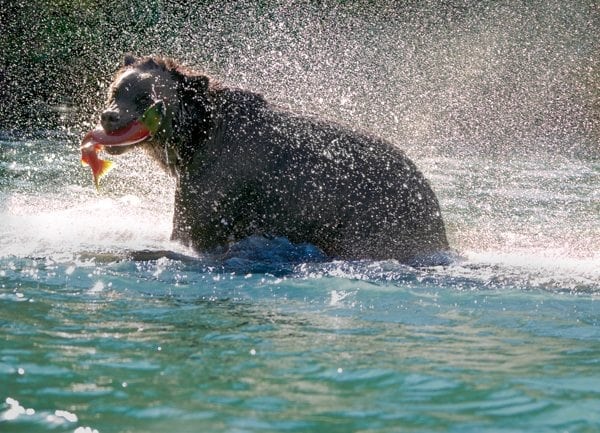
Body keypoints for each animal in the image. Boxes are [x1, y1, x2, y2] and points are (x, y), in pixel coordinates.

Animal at [96, 54, 448, 264]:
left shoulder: (218, 176)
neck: (196, 137)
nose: (110, 117)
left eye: (145, 99)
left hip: (375, 219)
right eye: (116, 91)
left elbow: (190, 231)